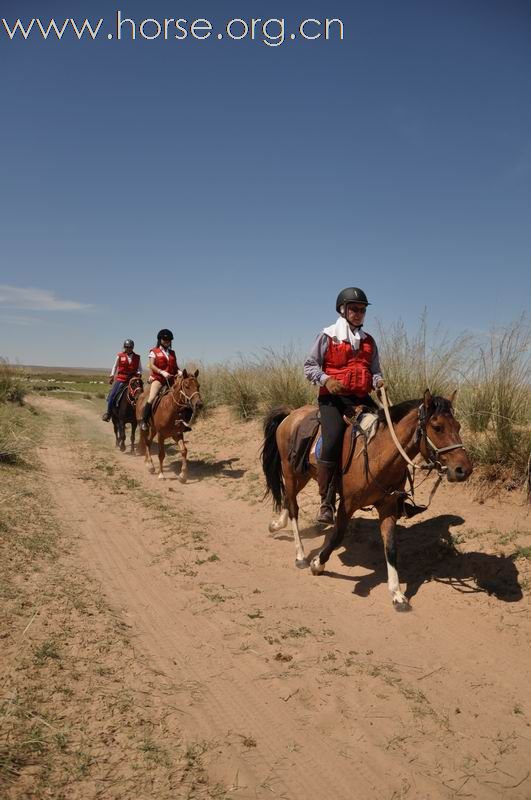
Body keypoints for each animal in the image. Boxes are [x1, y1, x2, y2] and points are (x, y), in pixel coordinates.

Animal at [262, 390, 474, 608]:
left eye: (458, 426)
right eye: (437, 427)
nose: (464, 470)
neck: (375, 454)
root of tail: (291, 413)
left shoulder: (388, 507)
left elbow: (391, 547)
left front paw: (397, 593)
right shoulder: (347, 505)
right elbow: (337, 536)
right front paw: (318, 564)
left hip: (303, 474)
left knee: (288, 501)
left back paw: (276, 525)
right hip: (291, 473)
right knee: (293, 507)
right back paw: (301, 555)